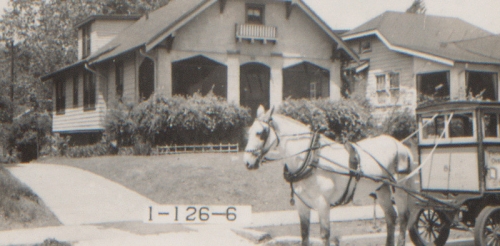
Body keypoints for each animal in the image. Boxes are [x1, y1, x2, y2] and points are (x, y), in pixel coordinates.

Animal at [244, 105, 416, 246]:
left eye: (261, 133)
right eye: (249, 132)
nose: (247, 162)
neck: (312, 159)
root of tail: (400, 145)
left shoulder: (323, 204)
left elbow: (325, 235)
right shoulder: (302, 205)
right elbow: (304, 235)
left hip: (400, 188)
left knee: (403, 218)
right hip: (382, 188)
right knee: (391, 218)